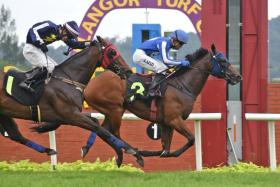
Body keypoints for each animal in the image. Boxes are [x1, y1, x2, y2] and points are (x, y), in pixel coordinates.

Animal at [0, 39, 143, 167]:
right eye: (112, 52)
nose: (128, 71)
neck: (68, 80)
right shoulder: (71, 115)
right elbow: (100, 129)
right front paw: (127, 151)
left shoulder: (70, 115)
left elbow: (96, 123)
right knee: (16, 135)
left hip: (5, 114)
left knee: (16, 135)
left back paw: (49, 150)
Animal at [34, 38, 242, 159]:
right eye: (222, 61)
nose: (238, 76)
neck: (183, 85)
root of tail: (89, 84)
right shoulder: (174, 119)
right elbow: (190, 140)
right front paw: (164, 154)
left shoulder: (166, 122)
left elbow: (165, 146)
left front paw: (162, 153)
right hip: (115, 109)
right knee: (112, 132)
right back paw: (132, 151)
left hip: (112, 111)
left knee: (103, 130)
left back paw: (89, 148)